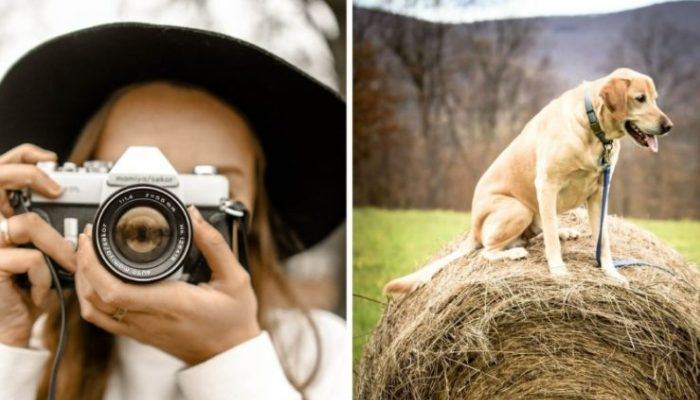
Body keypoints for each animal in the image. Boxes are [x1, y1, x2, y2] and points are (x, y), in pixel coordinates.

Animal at [386, 68, 668, 294]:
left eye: (655, 99)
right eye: (639, 99)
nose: (668, 126)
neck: (592, 126)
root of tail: (473, 229)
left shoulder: (599, 192)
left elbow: (603, 240)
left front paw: (611, 273)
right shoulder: (547, 185)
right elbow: (551, 240)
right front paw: (558, 270)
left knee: (538, 230)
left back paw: (562, 232)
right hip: (517, 208)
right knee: (488, 250)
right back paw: (514, 252)